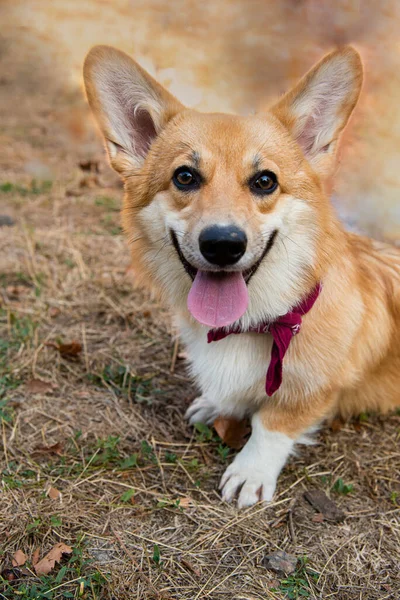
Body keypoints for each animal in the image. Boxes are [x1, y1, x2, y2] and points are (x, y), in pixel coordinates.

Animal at [83, 45, 400, 506]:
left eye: (265, 181)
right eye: (184, 176)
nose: (222, 244)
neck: (252, 323)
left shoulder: (313, 390)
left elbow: (273, 424)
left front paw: (250, 471)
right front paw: (218, 405)